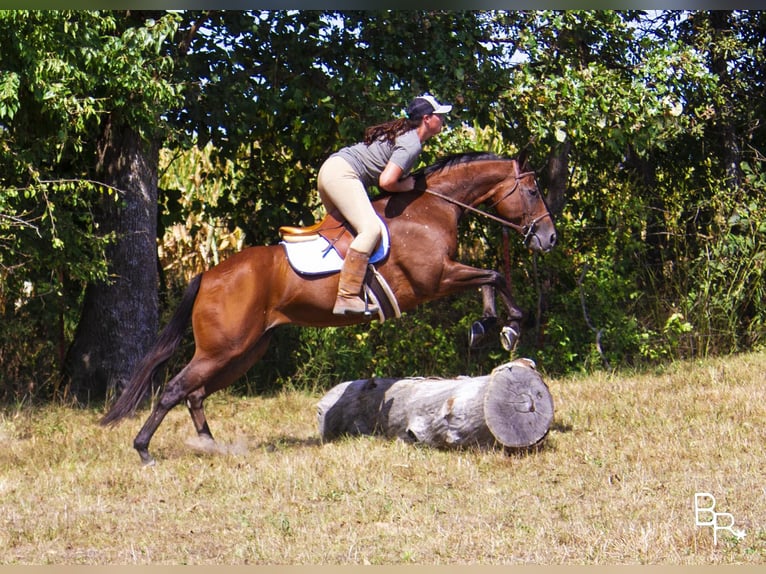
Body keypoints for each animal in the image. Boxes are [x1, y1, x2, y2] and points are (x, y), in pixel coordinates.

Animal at [102, 151, 560, 466]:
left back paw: (211, 445)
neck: (431, 209)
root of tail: (209, 274)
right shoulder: (435, 279)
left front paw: (490, 327)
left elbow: (490, 279)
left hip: (246, 350)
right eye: (533, 191)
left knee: (195, 393)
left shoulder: (446, 275)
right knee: (175, 389)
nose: (549, 238)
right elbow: (494, 275)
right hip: (224, 347)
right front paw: (506, 326)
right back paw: (144, 450)